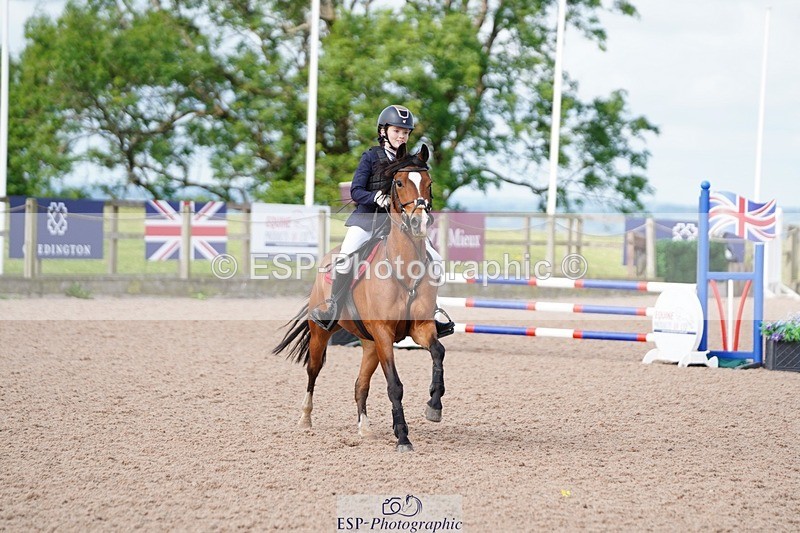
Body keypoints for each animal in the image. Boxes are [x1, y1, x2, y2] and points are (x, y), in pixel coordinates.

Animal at [273, 143, 446, 452]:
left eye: (428, 182)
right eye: (398, 182)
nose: (420, 222)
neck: (404, 267)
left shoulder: (420, 328)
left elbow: (438, 352)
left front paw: (433, 406)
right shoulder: (384, 333)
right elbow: (395, 385)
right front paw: (403, 437)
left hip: (369, 344)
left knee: (360, 384)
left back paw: (364, 429)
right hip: (323, 333)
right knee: (313, 370)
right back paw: (305, 419)